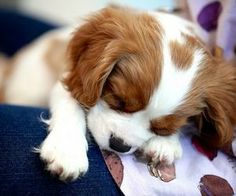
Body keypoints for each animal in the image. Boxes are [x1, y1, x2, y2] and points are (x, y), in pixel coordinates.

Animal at [0, 6, 235, 181]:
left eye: (162, 127)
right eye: (118, 101)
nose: (119, 145)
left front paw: (165, 143)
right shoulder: (69, 79)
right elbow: (71, 107)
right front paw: (67, 150)